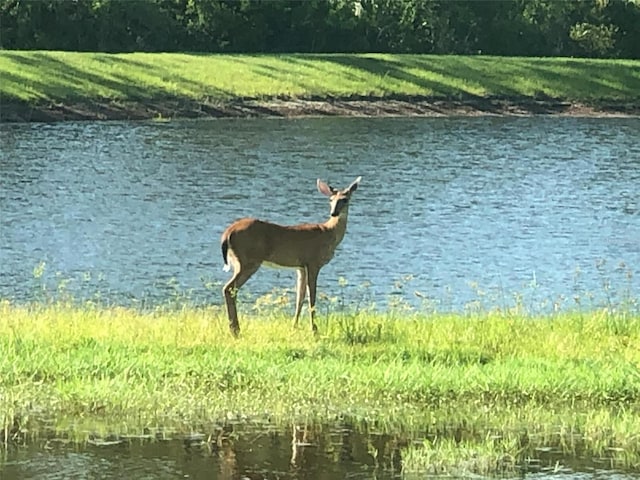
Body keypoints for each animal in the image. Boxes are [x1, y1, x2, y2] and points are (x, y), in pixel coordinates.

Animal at [220, 176, 360, 338]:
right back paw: (235, 330)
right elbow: (312, 296)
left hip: (242, 261)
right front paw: (314, 330)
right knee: (229, 288)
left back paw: (234, 329)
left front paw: (294, 327)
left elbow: (300, 296)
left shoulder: (301, 267)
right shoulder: (313, 262)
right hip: (248, 260)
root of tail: (227, 233)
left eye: (345, 199)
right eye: (331, 200)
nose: (333, 213)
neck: (328, 232)